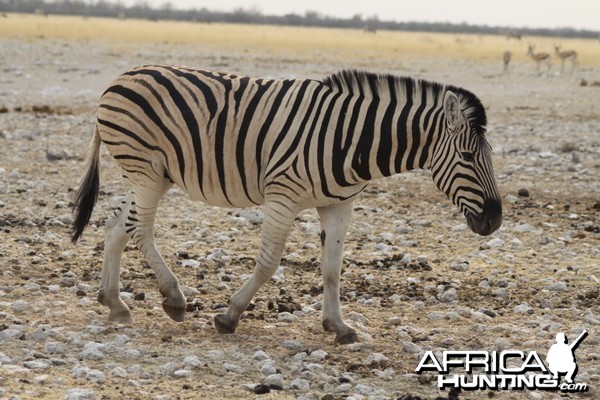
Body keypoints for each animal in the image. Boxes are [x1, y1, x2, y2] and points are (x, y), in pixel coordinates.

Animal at [71, 65, 502, 344]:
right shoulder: (283, 196)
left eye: (490, 155)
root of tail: (121, 77)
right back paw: (173, 298)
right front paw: (229, 316)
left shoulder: (338, 205)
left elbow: (332, 268)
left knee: (116, 226)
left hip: (151, 175)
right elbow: (268, 263)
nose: (495, 221)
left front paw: (339, 326)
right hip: (145, 169)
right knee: (138, 228)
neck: (352, 140)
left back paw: (114, 303)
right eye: (467, 157)